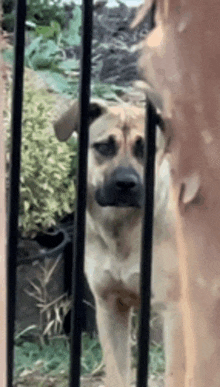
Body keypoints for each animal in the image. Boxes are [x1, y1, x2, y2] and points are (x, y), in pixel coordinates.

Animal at [53, 100, 182, 387]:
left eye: (145, 149)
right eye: (104, 147)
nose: (125, 183)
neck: (122, 229)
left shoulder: (172, 313)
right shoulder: (110, 307)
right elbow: (116, 373)